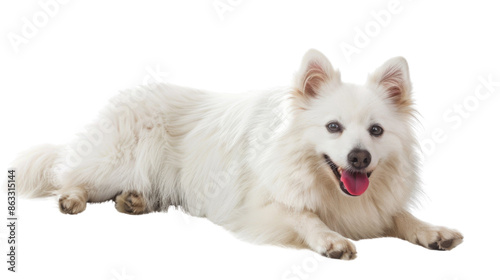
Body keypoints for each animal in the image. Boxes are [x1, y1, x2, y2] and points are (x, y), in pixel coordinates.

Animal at [12, 49, 464, 258]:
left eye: (376, 131)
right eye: (333, 127)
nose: (359, 158)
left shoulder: (376, 207)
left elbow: (401, 216)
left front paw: (432, 231)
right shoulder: (258, 209)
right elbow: (304, 216)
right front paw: (331, 239)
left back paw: (134, 201)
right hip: (115, 160)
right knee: (69, 175)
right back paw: (73, 198)